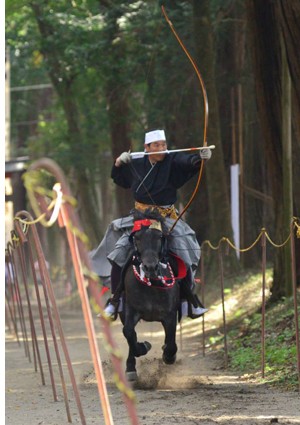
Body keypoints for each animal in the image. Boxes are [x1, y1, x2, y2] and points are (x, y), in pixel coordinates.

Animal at [118, 210, 184, 380]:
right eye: (137, 238)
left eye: (159, 237)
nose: (150, 267)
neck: (152, 285)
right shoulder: (131, 309)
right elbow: (129, 332)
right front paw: (144, 347)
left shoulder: (170, 313)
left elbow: (171, 341)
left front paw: (169, 356)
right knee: (130, 334)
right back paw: (131, 367)